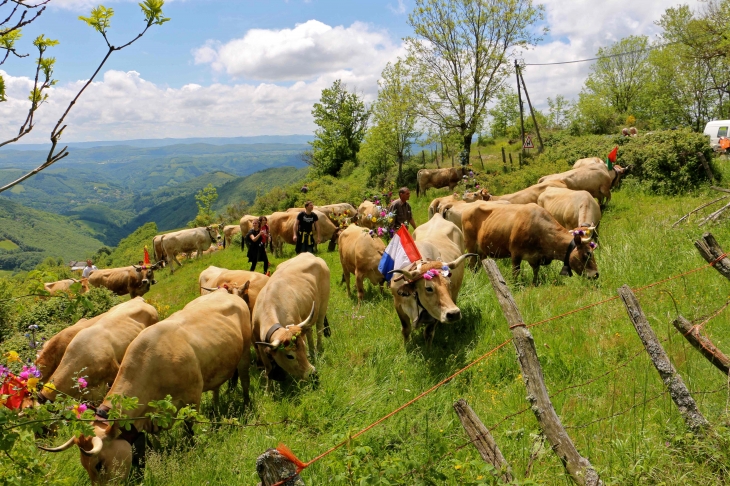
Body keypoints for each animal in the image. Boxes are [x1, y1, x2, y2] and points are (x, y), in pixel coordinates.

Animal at [39, 286, 252, 484]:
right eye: (84, 466)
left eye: (99, 465)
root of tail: (226, 292)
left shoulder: (192, 399)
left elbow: (191, 430)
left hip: (245, 352)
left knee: (245, 379)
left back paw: (247, 404)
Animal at [252, 251, 328, 384]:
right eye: (290, 356)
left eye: (303, 347)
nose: (313, 374)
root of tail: (310, 254)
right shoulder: (261, 347)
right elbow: (268, 369)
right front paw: (269, 388)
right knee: (309, 331)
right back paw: (312, 351)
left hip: (323, 306)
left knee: (319, 329)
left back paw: (317, 349)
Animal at [390, 215, 474, 344]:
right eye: (428, 288)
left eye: (449, 284)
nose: (454, 314)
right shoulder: (398, 304)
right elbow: (405, 329)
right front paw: (406, 345)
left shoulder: (435, 313)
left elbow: (428, 333)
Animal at [460, 201, 596, 284]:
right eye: (587, 254)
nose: (596, 275)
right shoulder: (515, 254)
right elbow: (515, 272)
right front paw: (515, 285)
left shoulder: (535, 258)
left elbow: (536, 272)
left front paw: (534, 284)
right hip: (470, 246)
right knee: (472, 266)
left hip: (482, 251)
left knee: (479, 265)